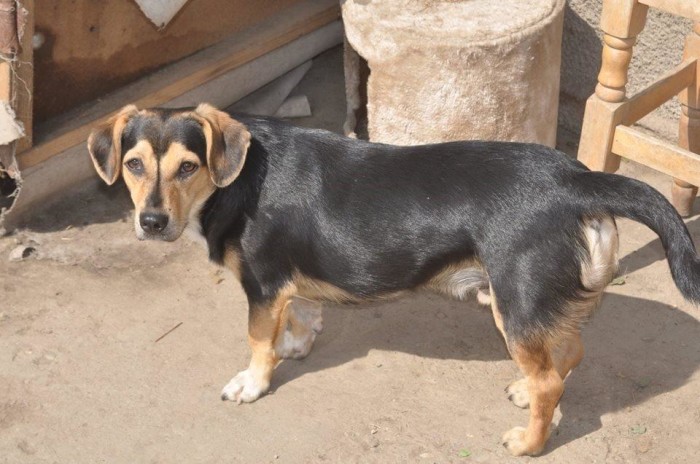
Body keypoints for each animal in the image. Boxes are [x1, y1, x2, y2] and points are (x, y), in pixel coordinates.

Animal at [87, 103, 700, 456]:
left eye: (188, 167)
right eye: (134, 164)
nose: (150, 223)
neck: (234, 180)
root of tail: (578, 180)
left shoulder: (261, 286)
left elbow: (258, 342)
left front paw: (253, 383)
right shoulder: (286, 285)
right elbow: (301, 313)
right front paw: (297, 343)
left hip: (515, 300)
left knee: (553, 376)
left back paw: (529, 441)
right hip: (530, 302)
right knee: (567, 352)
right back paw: (526, 395)